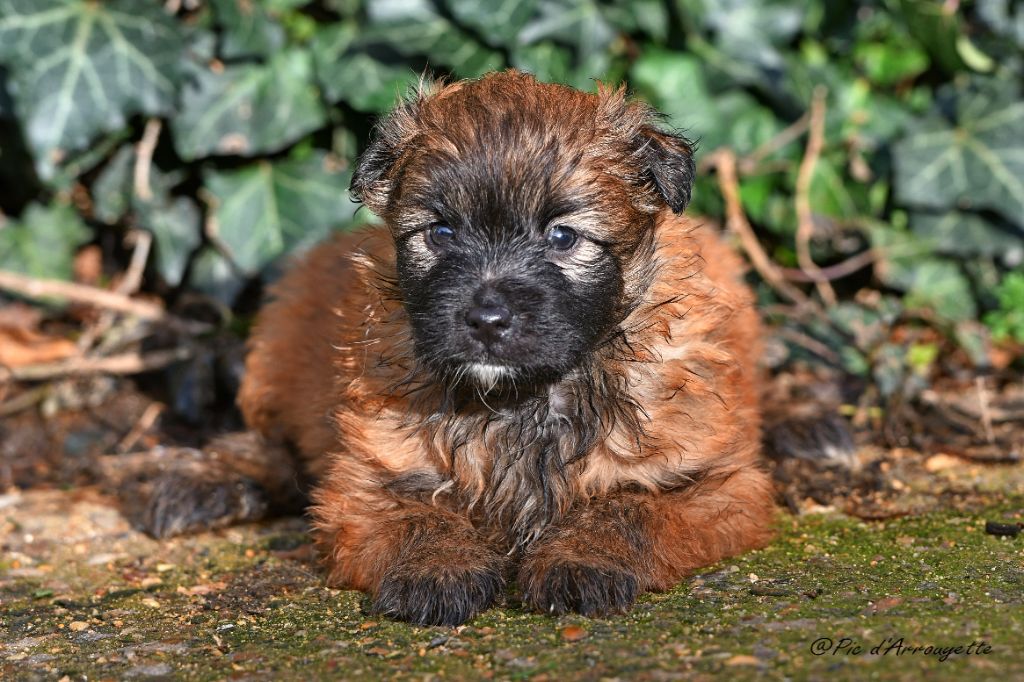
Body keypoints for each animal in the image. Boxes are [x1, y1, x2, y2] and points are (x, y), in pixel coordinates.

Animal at [142, 69, 774, 622]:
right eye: (441, 232)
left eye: (562, 236)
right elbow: (417, 514)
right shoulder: (367, 479)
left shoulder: (716, 485)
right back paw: (200, 484)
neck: (524, 401)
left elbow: (628, 507)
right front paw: (438, 569)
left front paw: (583, 559)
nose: (487, 320)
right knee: (271, 447)